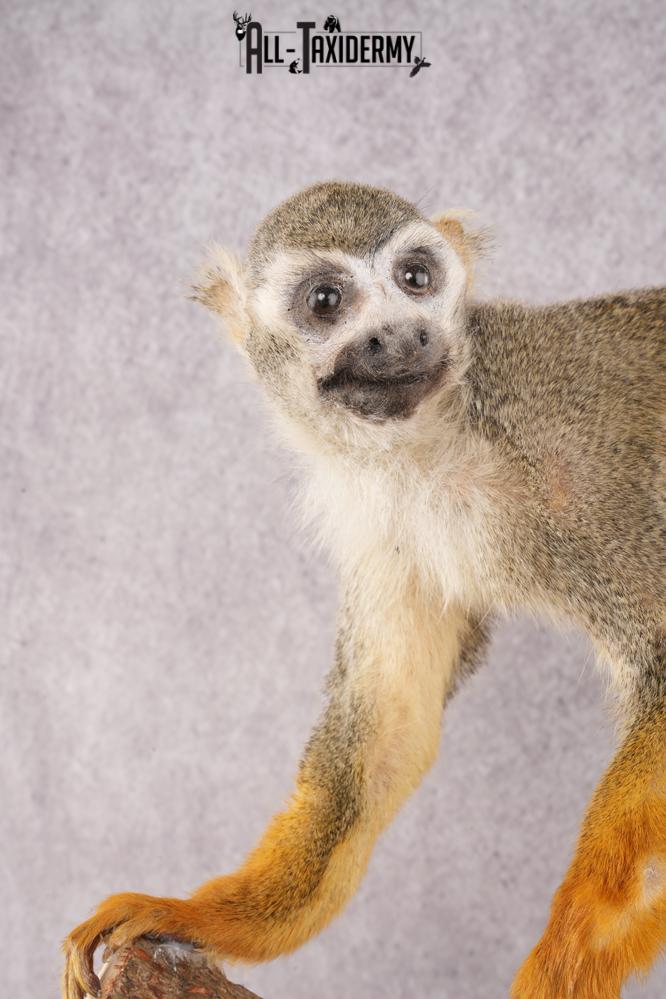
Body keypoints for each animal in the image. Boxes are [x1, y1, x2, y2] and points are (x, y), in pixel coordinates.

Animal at [62, 181, 666, 999]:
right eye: (326, 300)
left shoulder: (575, 457)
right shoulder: (384, 525)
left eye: (416, 278)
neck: (441, 440)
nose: (402, 334)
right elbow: (385, 732)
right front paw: (199, 916)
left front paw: (570, 952)